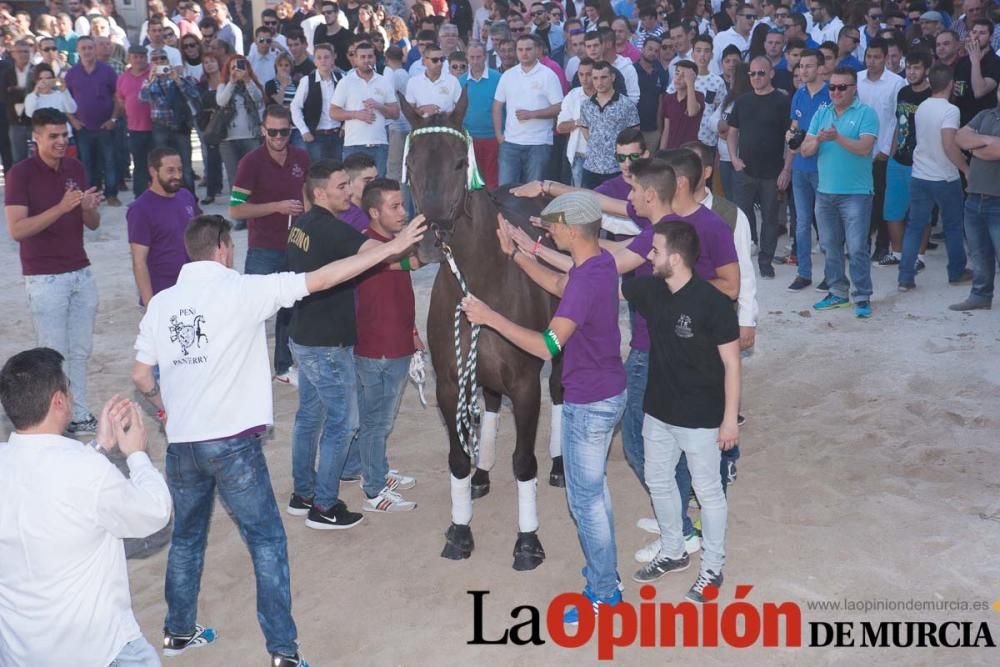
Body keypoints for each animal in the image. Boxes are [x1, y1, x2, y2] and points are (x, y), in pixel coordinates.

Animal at [402, 90, 568, 568]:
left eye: (461, 162)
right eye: (411, 163)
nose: (428, 239)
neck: (479, 278)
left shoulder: (527, 383)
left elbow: (525, 463)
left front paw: (528, 541)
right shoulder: (449, 382)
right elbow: (457, 458)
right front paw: (460, 529)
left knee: (561, 393)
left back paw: (559, 466)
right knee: (491, 403)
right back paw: (483, 471)